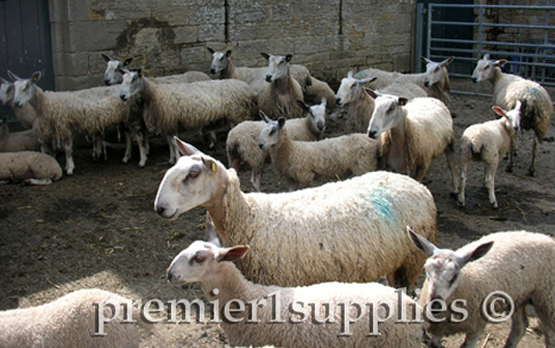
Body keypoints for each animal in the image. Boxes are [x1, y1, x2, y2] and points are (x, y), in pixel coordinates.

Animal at [120, 70, 258, 165]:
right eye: (122, 79)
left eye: (134, 79)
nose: (122, 96)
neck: (154, 94)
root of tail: (247, 88)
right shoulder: (168, 122)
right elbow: (170, 141)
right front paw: (171, 159)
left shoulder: (171, 120)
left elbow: (174, 143)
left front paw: (177, 159)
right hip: (234, 114)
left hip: (240, 112)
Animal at [155, 137, 438, 288]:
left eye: (193, 174)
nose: (160, 207)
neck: (249, 218)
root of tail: (414, 184)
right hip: (395, 261)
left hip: (412, 260)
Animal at [410, 228, 555, 348]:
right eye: (426, 270)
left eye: (455, 276)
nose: (435, 306)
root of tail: (546, 237)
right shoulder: (438, 330)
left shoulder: (476, 327)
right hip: (519, 296)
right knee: (520, 328)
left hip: (547, 299)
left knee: (550, 334)